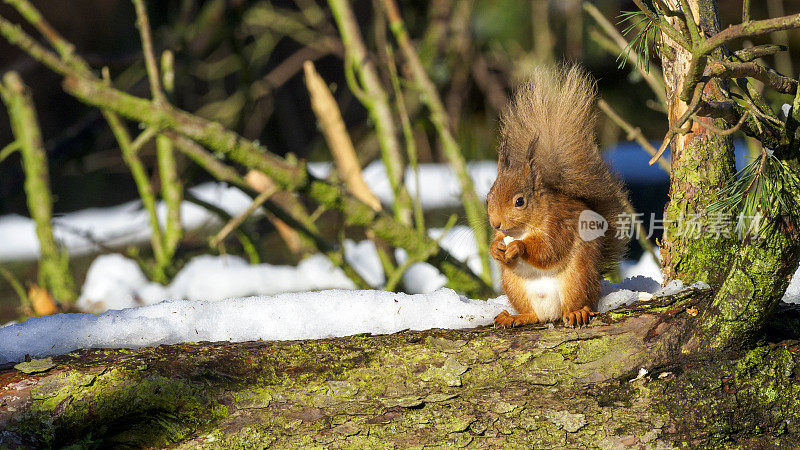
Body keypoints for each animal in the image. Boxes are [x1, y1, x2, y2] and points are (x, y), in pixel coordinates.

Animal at [488, 64, 632, 326]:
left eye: (520, 201)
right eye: (488, 197)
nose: (496, 223)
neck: (523, 229)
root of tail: (550, 313)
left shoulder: (559, 224)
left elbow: (549, 250)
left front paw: (519, 248)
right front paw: (495, 249)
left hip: (578, 279)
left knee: (577, 302)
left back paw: (576, 312)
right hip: (513, 285)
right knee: (533, 314)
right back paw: (517, 316)